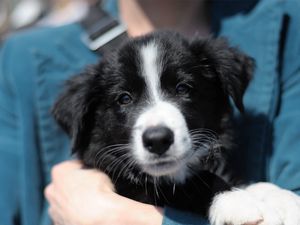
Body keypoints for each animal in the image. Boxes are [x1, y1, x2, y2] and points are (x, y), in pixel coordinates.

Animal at [51, 31, 300, 223]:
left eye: (182, 88)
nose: (157, 140)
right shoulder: (134, 189)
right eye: (124, 98)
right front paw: (235, 200)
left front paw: (282, 199)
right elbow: (191, 185)